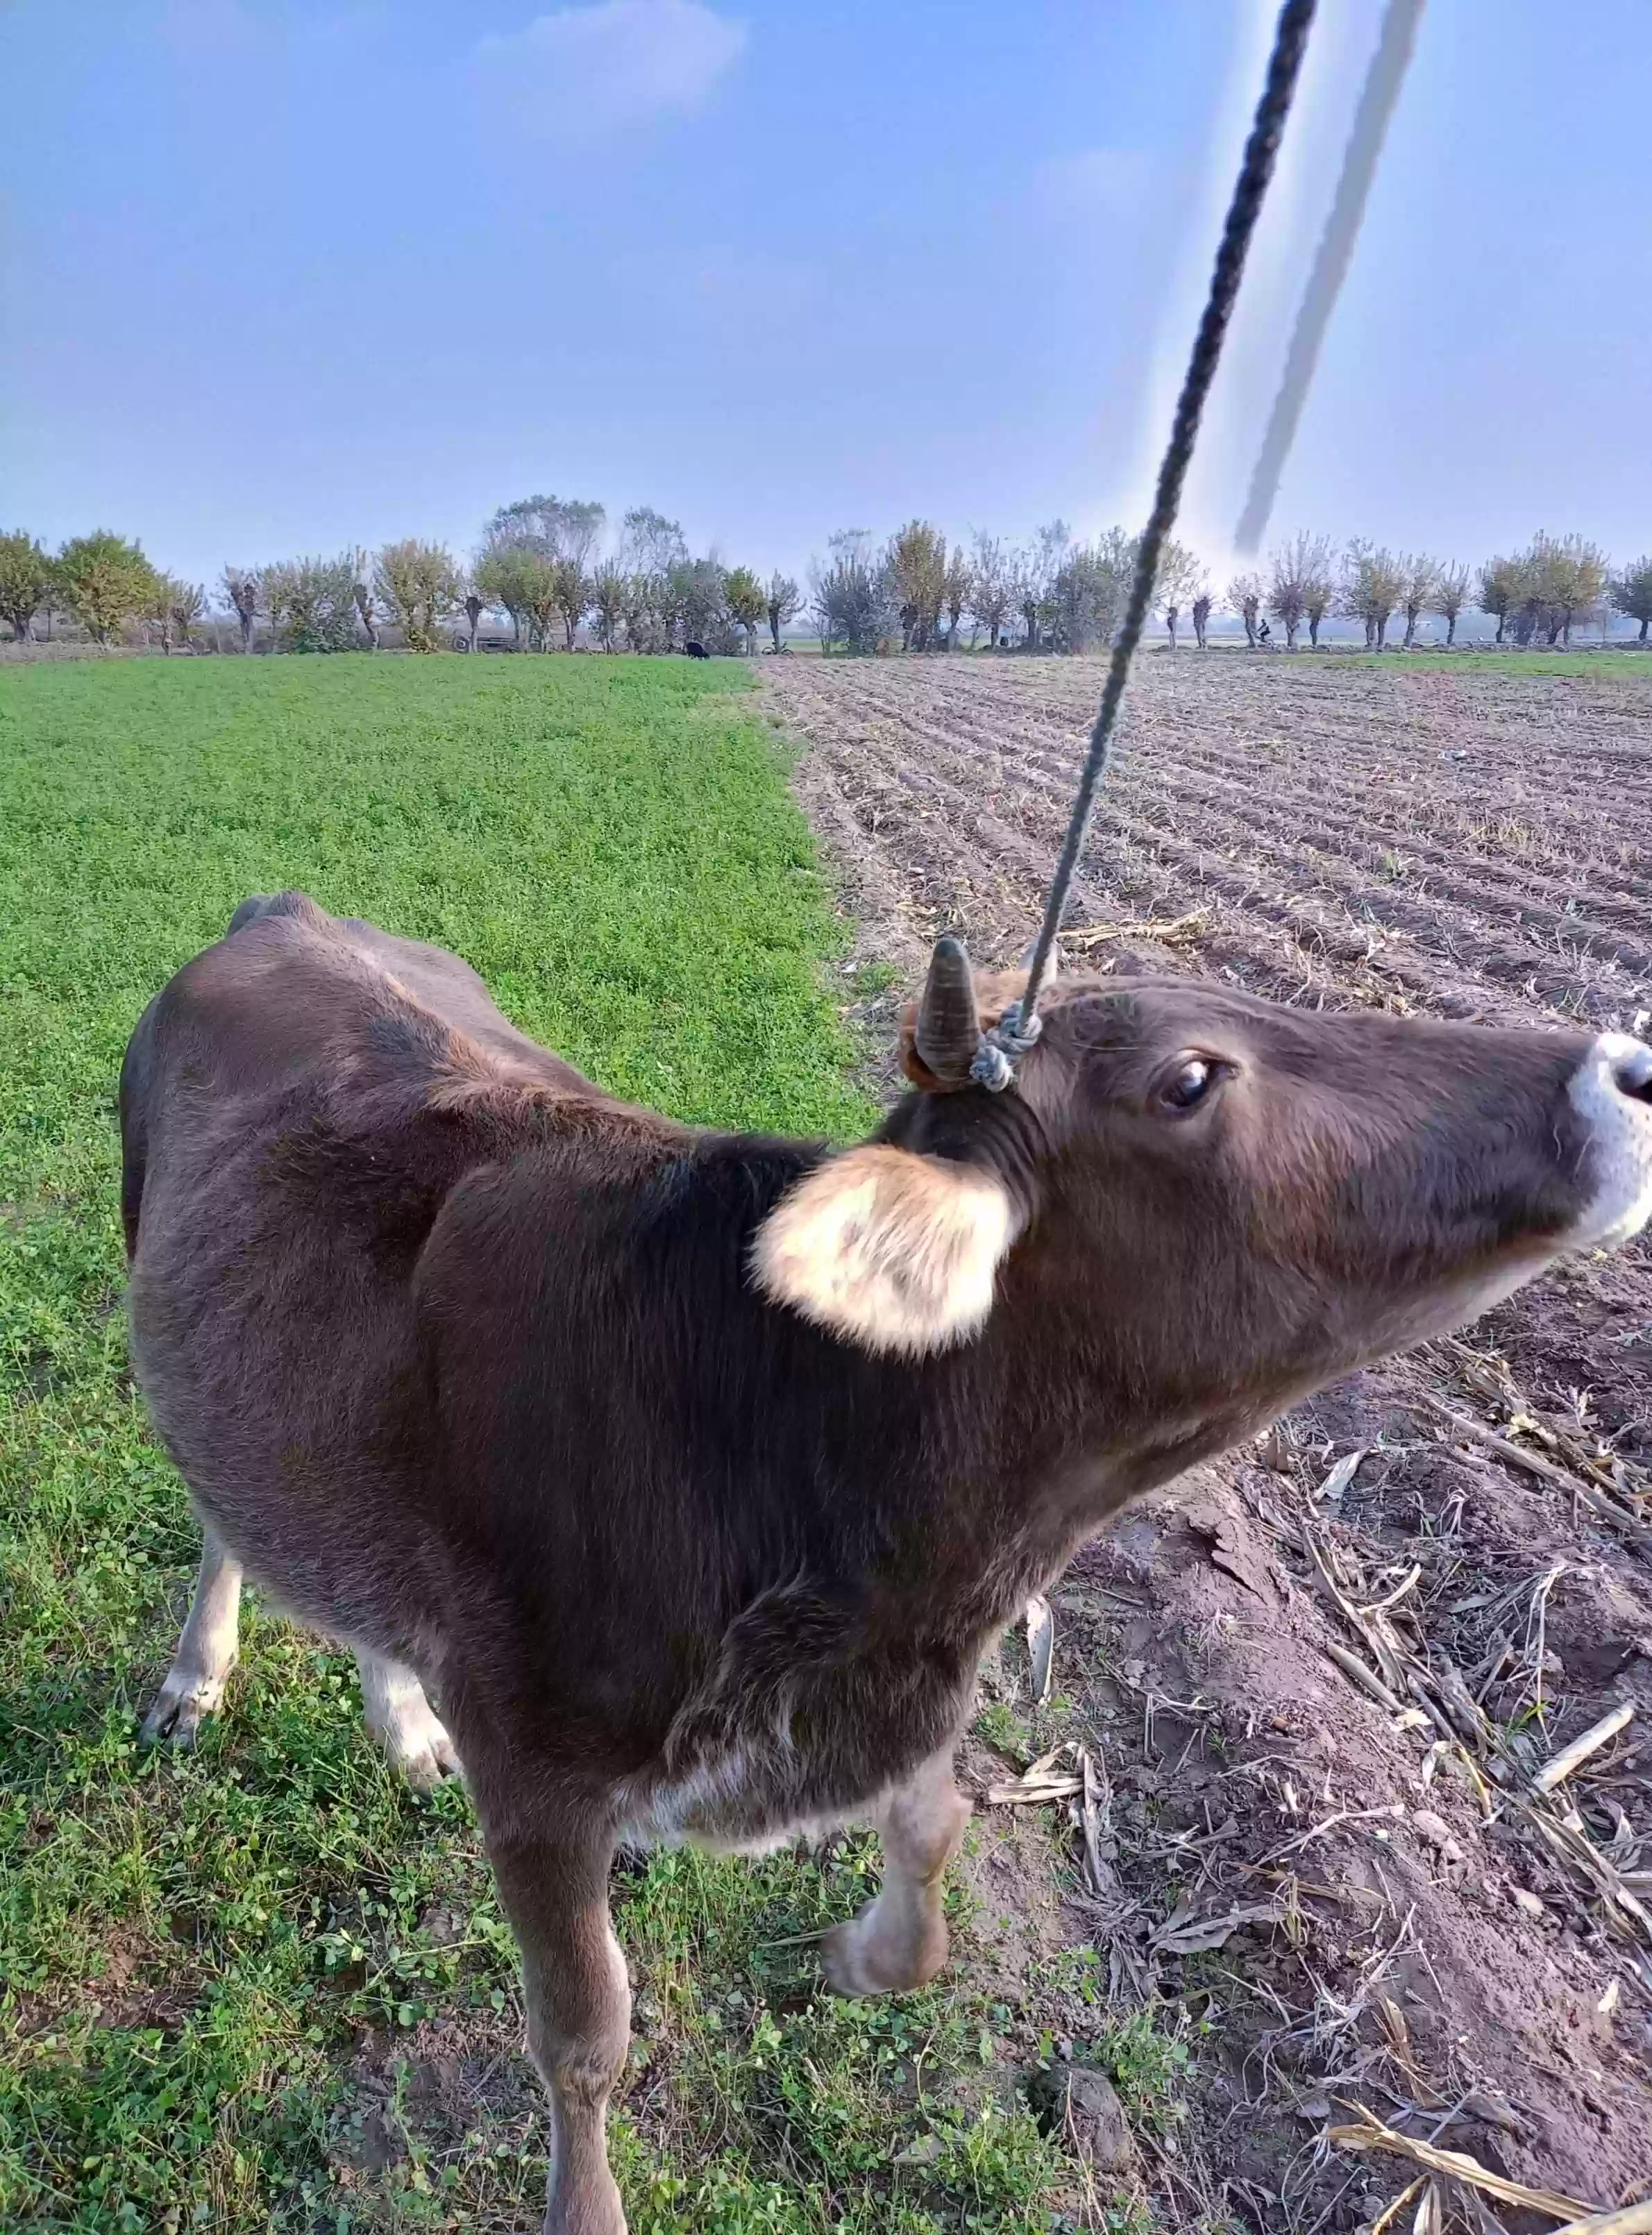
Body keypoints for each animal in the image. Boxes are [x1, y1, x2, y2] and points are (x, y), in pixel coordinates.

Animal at [122, 890, 1652, 2235]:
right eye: (1189, 1077)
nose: (1625, 1065)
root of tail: (286, 911)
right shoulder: (538, 1766)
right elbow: (584, 2038)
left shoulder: (895, 1683)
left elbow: (936, 1834)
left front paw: (861, 1953)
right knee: (224, 1517)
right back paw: (198, 1676)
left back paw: (398, 1718)